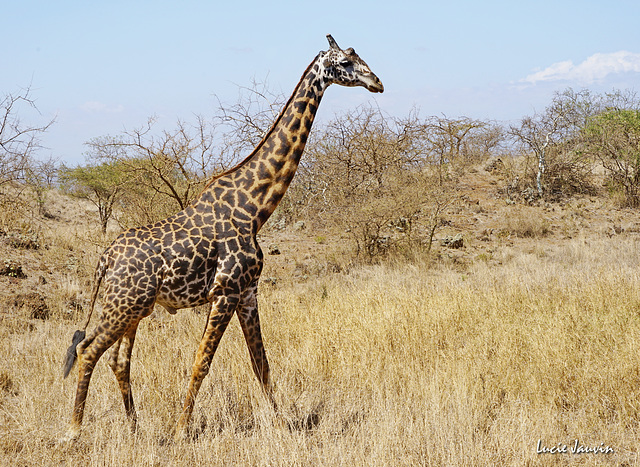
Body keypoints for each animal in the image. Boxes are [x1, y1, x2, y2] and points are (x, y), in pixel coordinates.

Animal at [60, 33, 382, 442]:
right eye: (345, 62)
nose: (377, 82)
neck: (255, 206)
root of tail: (105, 259)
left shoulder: (247, 292)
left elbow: (261, 363)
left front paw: (282, 425)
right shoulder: (226, 291)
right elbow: (202, 362)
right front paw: (181, 430)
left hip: (135, 307)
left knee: (118, 359)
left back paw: (135, 428)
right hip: (123, 305)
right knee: (88, 350)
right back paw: (73, 431)